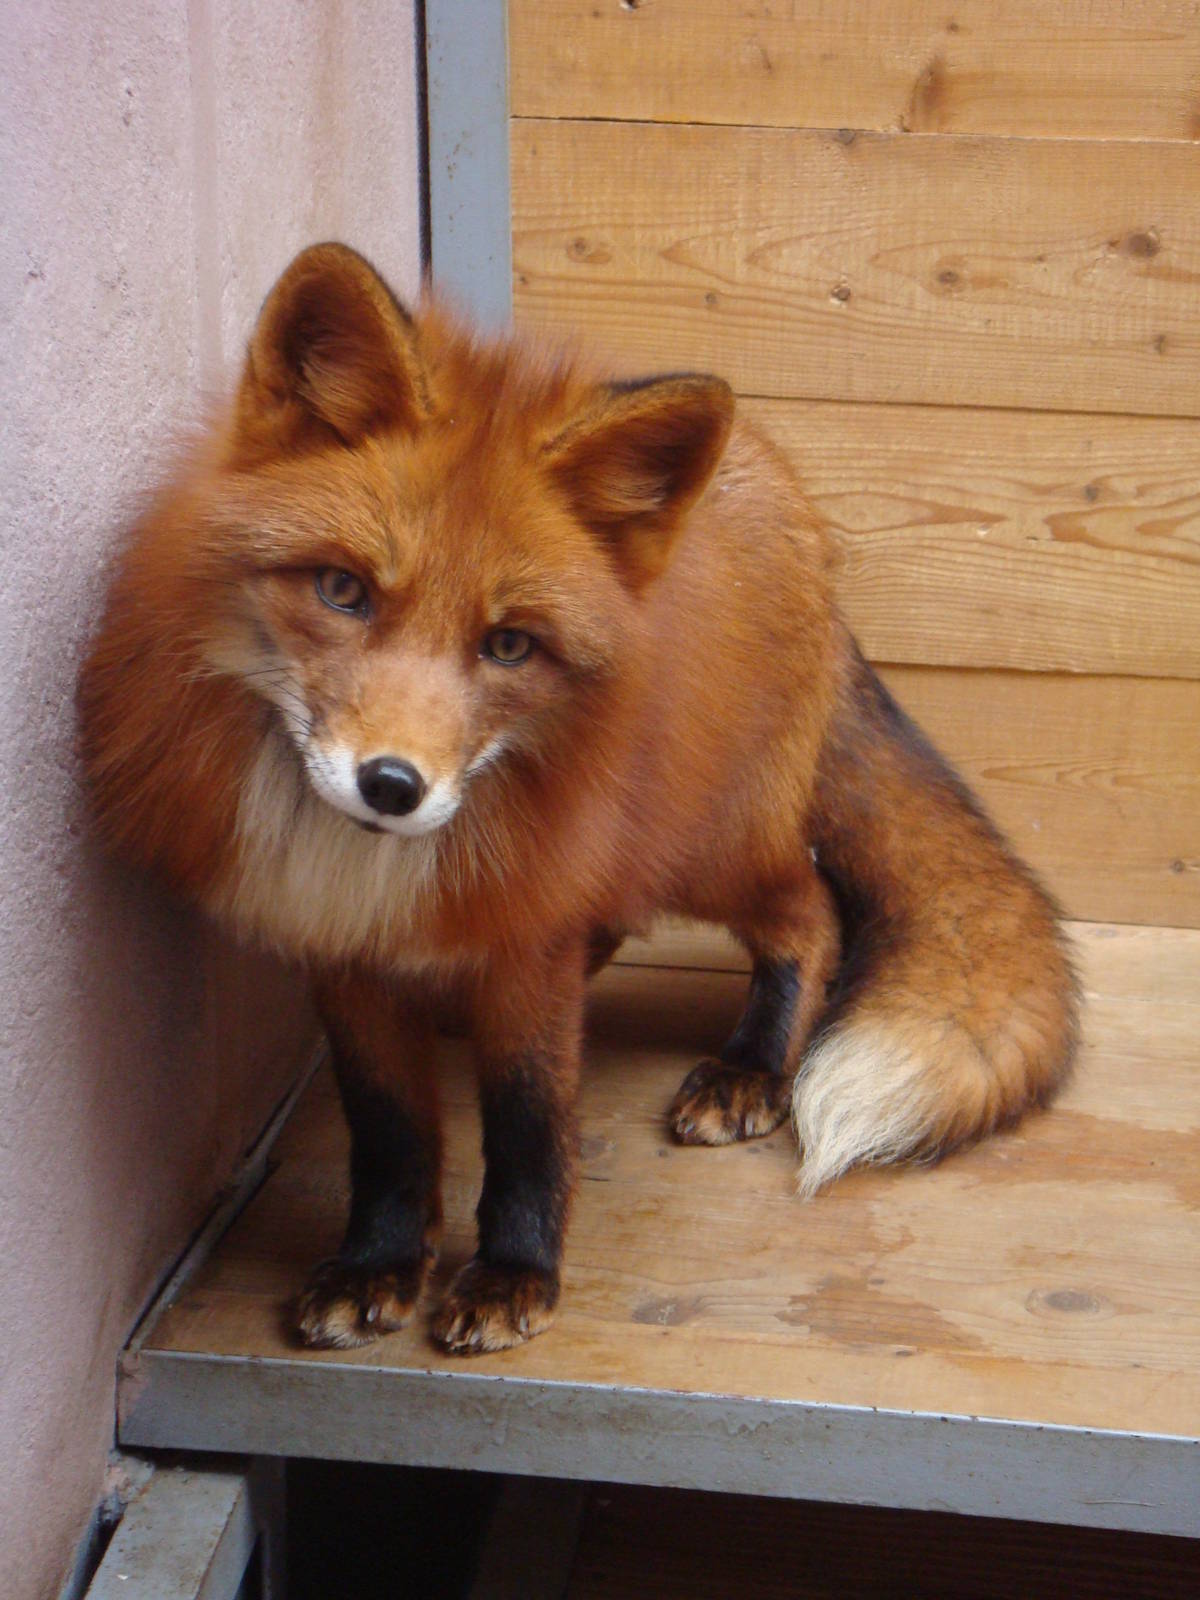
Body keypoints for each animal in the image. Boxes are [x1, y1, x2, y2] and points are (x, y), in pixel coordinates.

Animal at [79, 243, 1078, 1354]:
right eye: (343, 592)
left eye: (509, 644)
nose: (392, 785)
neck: (372, 874)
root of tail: (785, 487)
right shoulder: (346, 953)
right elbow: (389, 1130)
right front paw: (380, 1261)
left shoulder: (531, 952)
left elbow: (528, 1124)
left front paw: (515, 1274)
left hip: (708, 838)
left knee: (809, 910)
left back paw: (753, 1067)